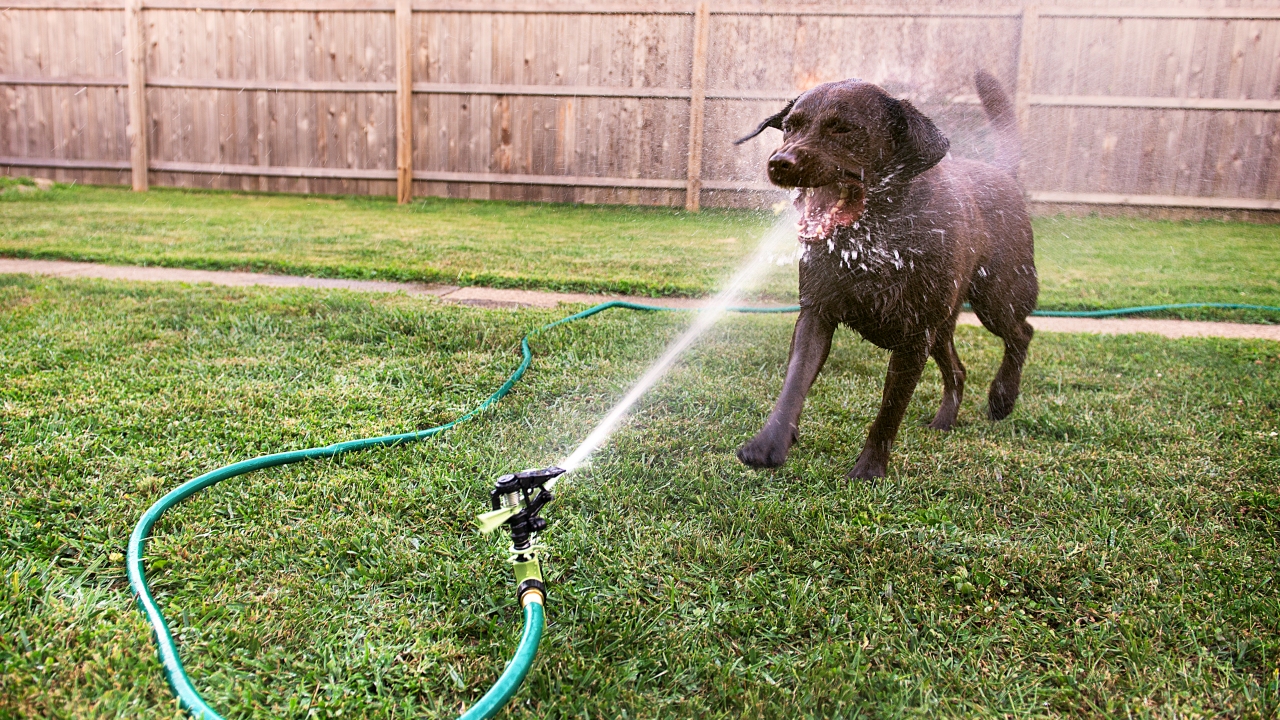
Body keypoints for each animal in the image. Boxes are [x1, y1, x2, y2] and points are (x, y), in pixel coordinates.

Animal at [737, 71, 1034, 476]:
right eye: (790, 127)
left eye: (844, 128)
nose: (780, 161)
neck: (874, 234)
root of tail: (1001, 173)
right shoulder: (816, 313)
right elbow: (794, 383)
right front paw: (768, 444)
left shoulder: (914, 337)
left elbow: (889, 411)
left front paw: (869, 470)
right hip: (943, 325)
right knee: (958, 371)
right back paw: (945, 420)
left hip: (995, 298)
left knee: (1022, 333)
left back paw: (1003, 396)